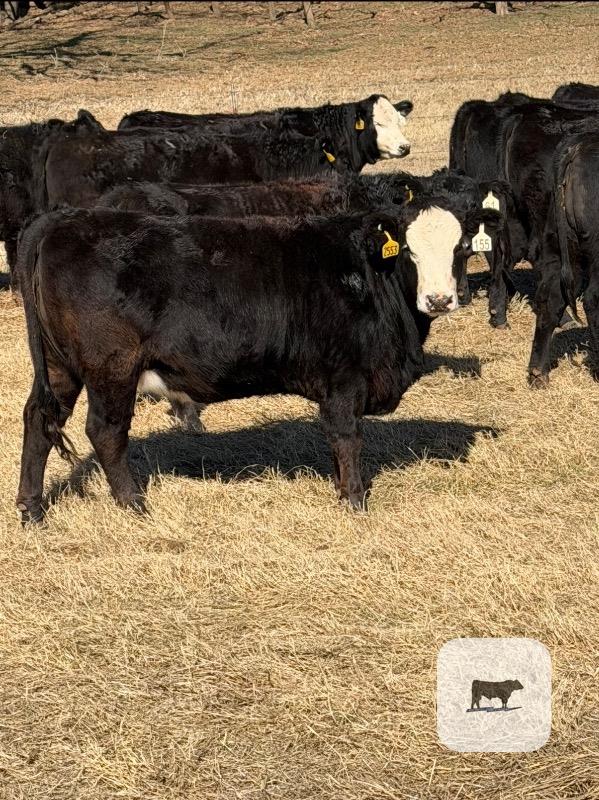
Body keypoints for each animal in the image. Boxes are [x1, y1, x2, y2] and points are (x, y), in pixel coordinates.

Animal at [15, 198, 494, 523]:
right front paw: (354, 500)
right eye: (410, 251)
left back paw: (31, 509)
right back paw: (134, 505)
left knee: (40, 418)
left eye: (462, 247)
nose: (439, 299)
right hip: (111, 367)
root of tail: (63, 219)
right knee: (106, 431)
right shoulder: (344, 378)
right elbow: (347, 438)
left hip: (60, 367)